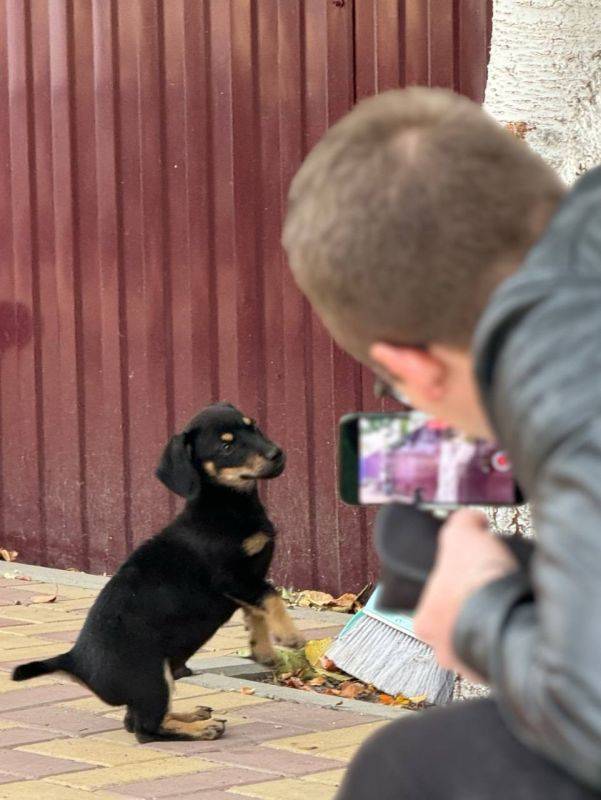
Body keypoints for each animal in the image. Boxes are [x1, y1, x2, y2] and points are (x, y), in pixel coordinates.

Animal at [12, 406, 304, 744]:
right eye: (226, 446)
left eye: (253, 427)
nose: (276, 453)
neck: (226, 504)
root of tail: (75, 661)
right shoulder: (232, 577)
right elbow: (271, 596)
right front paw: (290, 635)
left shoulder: (246, 582)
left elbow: (255, 612)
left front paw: (264, 650)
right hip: (152, 678)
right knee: (145, 729)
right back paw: (200, 729)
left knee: (136, 720)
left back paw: (192, 715)